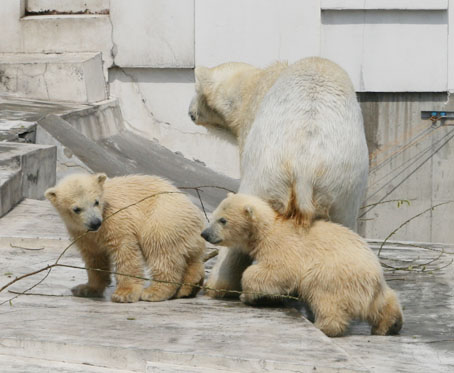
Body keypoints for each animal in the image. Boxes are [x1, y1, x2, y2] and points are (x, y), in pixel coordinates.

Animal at [188, 56, 368, 296]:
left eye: (194, 90)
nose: (189, 111)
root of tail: (305, 163)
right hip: (341, 187)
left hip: (267, 172)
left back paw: (216, 284)